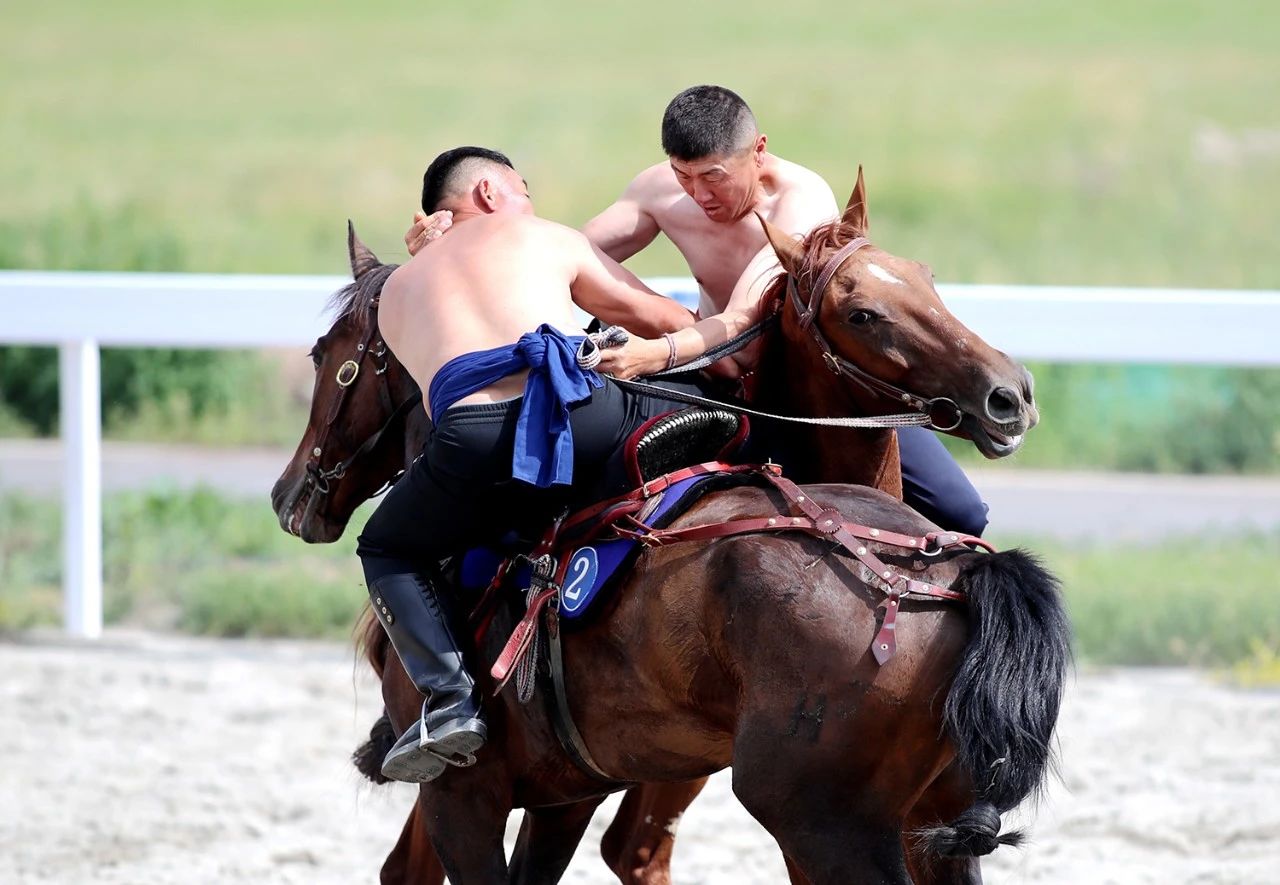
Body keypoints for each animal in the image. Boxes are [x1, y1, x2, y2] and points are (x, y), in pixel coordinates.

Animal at [280, 175, 1070, 885]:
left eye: (328, 356)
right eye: (865, 313)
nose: (1010, 394)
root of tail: (950, 572)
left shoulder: (464, 793)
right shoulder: (564, 791)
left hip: (823, 823)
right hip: (911, 823)